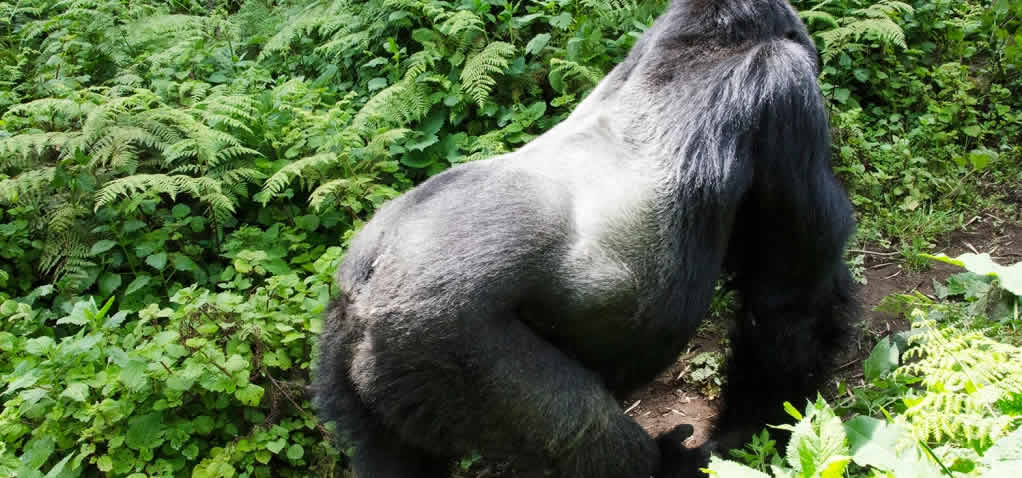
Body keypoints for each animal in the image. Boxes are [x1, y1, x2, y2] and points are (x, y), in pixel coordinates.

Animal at [314, 0, 858, 475]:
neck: (701, 43)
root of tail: (365, 283)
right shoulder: (784, 89)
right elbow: (789, 299)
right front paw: (753, 431)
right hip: (434, 343)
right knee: (590, 438)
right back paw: (662, 464)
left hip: (348, 347)